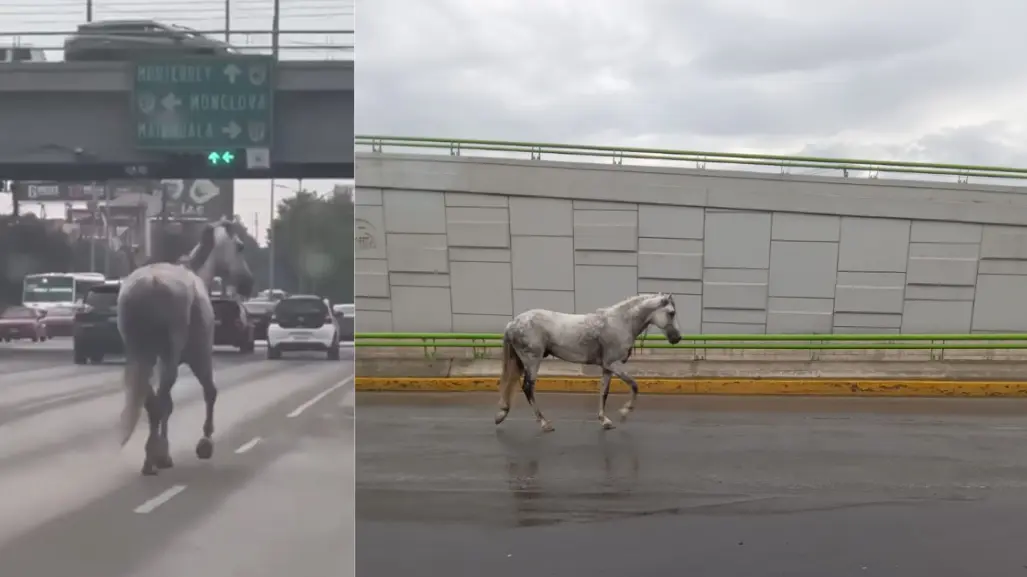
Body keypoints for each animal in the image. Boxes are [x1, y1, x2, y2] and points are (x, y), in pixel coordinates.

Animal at [115, 217, 252, 474]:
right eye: (240, 246)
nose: (248, 283)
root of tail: (150, 285)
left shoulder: (161, 360)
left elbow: (168, 404)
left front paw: (166, 451)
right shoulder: (200, 357)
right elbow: (210, 392)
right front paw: (205, 442)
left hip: (141, 354)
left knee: (151, 400)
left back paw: (153, 456)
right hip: (171, 356)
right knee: (159, 402)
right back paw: (153, 458)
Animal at [495, 291, 681, 431]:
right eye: (671, 312)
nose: (677, 338)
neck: (620, 322)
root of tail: (512, 323)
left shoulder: (607, 368)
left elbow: (604, 392)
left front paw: (605, 420)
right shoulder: (613, 364)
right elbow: (634, 385)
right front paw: (624, 412)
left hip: (521, 362)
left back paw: (502, 414)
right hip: (532, 361)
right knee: (527, 388)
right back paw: (544, 423)